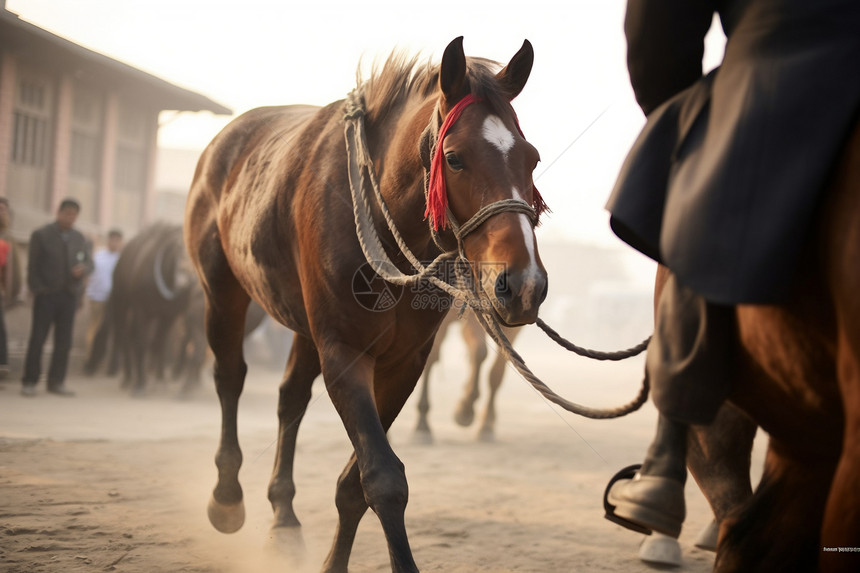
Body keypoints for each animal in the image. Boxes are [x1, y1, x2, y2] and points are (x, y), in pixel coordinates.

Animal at [187, 38, 548, 568]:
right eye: (455, 158)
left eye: (532, 159)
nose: (523, 284)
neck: (381, 221)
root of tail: (223, 142)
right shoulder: (343, 351)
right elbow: (382, 478)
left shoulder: (403, 361)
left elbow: (357, 483)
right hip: (223, 291)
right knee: (230, 376)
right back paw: (226, 497)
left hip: (303, 326)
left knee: (290, 398)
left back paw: (284, 515)